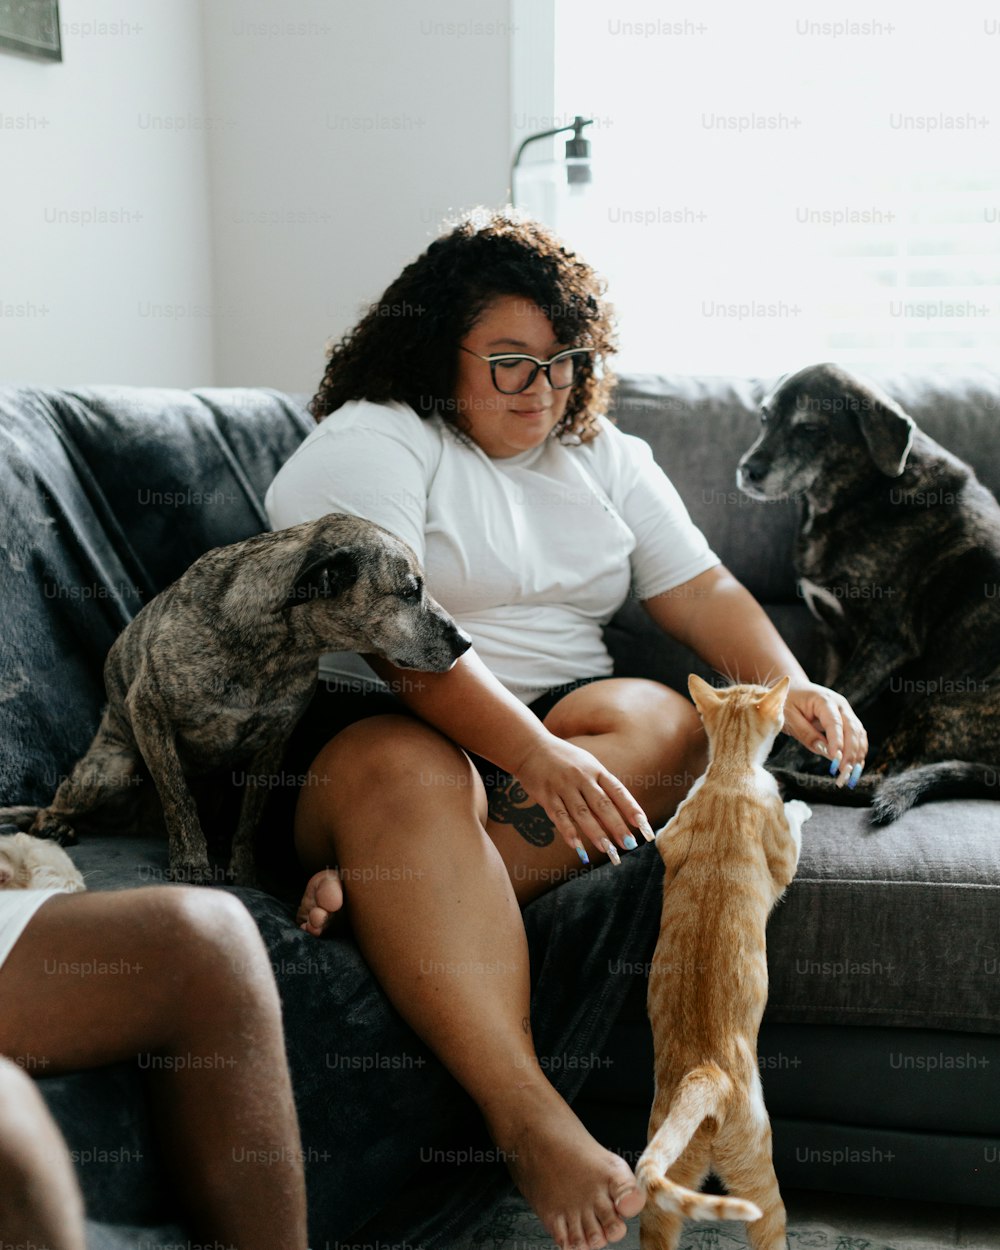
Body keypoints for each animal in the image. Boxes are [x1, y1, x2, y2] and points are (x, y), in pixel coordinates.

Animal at [0, 512, 470, 885]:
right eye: (409, 591)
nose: (465, 642)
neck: (274, 647)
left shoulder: (272, 746)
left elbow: (251, 820)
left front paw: (243, 872)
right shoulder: (148, 710)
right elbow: (179, 799)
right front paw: (192, 862)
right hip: (112, 767)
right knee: (48, 810)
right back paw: (56, 826)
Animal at [640, 675, 810, 1250]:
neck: (729, 773)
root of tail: (706, 1075)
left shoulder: (667, 834)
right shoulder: (783, 857)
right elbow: (792, 826)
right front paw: (802, 804)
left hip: (665, 1189)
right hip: (762, 1180)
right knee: (770, 1226)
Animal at [735, 362, 1000, 825]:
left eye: (810, 428)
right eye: (765, 417)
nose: (747, 469)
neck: (857, 497)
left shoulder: (885, 644)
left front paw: (781, 765)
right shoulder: (833, 640)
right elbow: (823, 705)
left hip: (943, 704)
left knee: (880, 780)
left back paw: (792, 780)